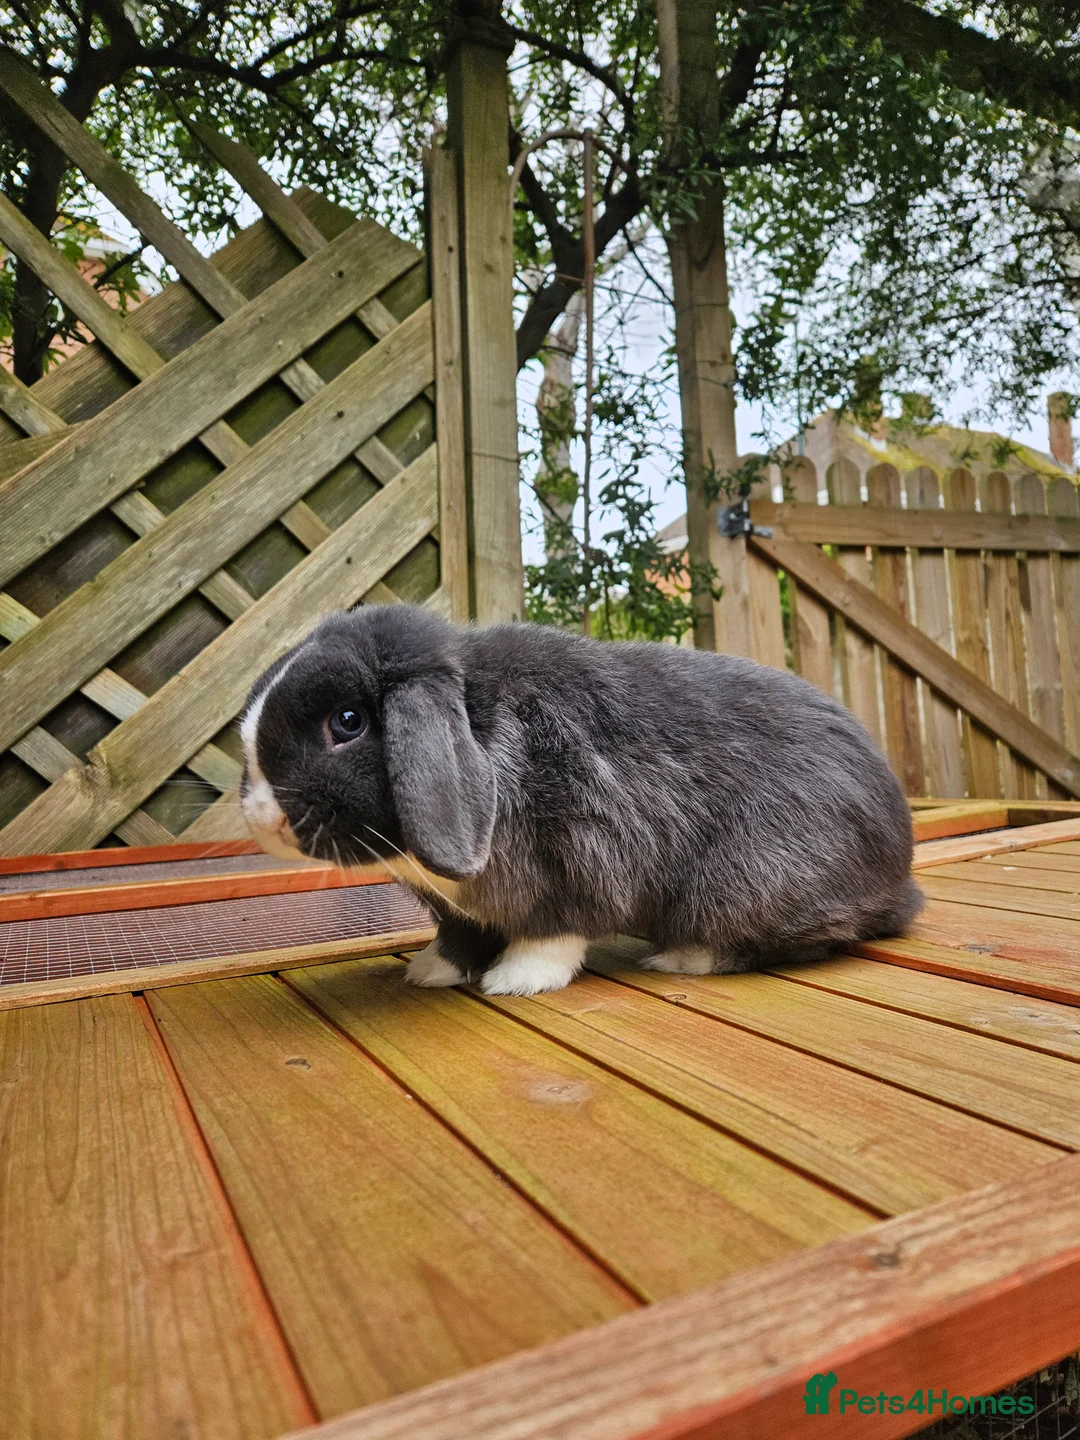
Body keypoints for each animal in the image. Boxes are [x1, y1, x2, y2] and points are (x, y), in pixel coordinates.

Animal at [239, 603, 922, 997]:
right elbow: (458, 934)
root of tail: (898, 879)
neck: (482, 730)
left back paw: (683, 957)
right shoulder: (460, 907)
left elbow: (553, 931)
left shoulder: (575, 862)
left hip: (747, 885)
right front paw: (432, 970)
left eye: (348, 721)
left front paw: (516, 981)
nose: (262, 818)